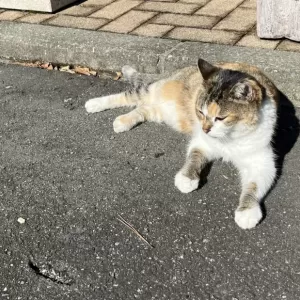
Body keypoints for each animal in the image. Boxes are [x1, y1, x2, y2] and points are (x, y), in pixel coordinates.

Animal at [85, 60, 278, 230]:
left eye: (221, 118)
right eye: (200, 112)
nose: (205, 129)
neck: (229, 137)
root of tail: (180, 69)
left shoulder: (262, 161)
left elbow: (254, 185)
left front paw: (247, 212)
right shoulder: (202, 142)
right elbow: (194, 157)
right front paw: (186, 179)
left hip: (160, 111)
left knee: (143, 109)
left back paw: (123, 121)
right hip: (152, 90)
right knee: (129, 95)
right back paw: (94, 104)